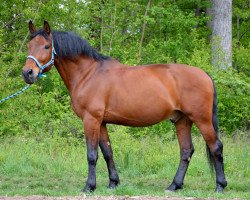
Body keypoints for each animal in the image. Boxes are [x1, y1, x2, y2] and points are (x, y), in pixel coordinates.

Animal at [22, 21, 228, 193]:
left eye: (47, 46)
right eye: (29, 46)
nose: (27, 73)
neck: (88, 74)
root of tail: (205, 75)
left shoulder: (91, 120)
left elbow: (92, 154)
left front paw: (89, 186)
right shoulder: (101, 122)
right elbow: (107, 152)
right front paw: (113, 183)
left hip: (201, 119)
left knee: (216, 147)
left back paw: (220, 185)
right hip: (181, 120)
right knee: (186, 151)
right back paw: (174, 186)